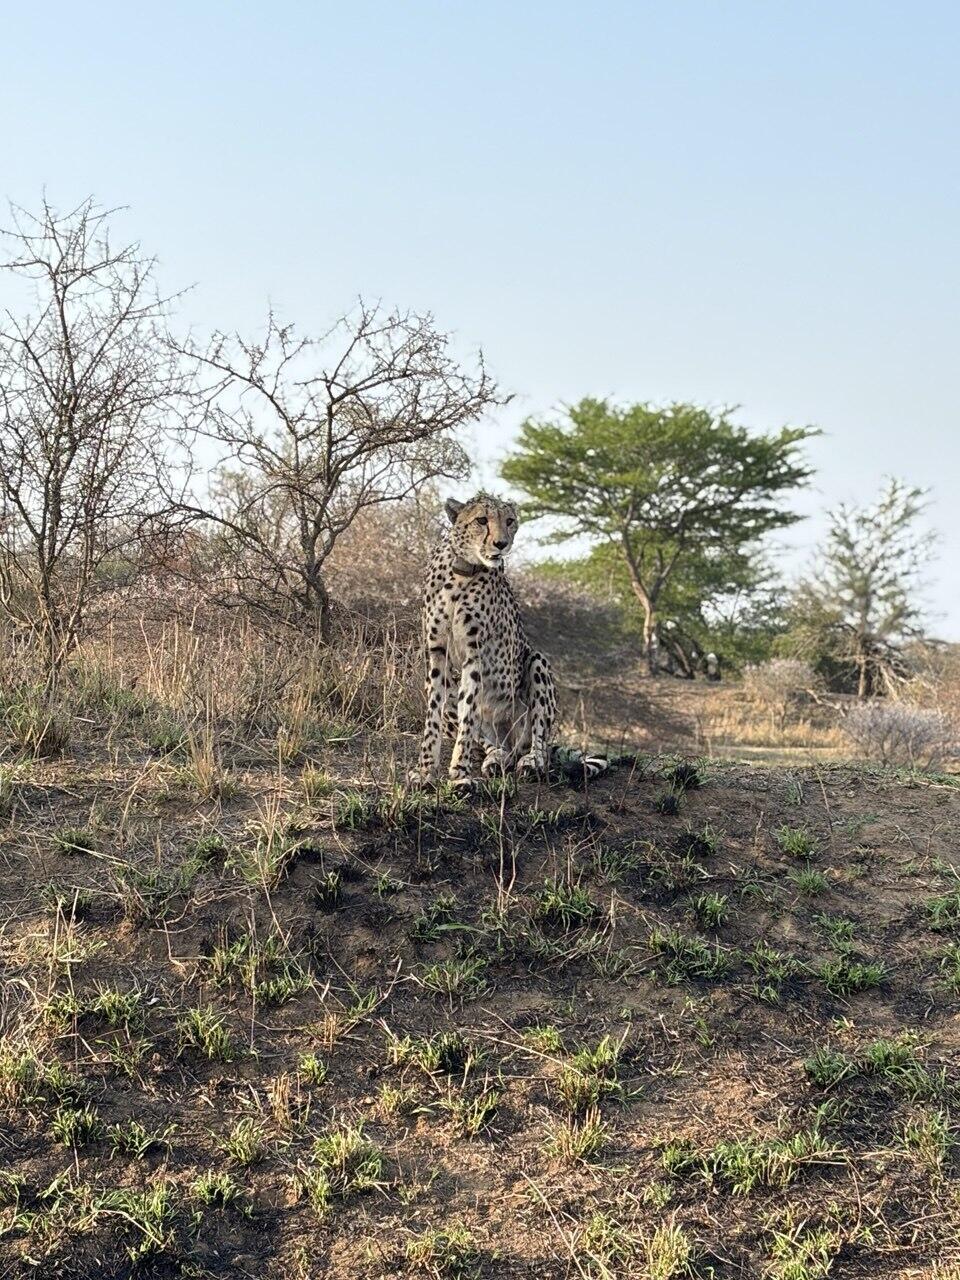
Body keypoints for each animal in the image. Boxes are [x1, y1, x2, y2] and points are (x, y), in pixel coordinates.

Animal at [408, 493, 557, 788]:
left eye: (509, 521)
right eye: (481, 520)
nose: (501, 544)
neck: (461, 571)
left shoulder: (474, 652)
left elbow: (469, 712)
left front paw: (460, 775)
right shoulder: (437, 651)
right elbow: (434, 713)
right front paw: (425, 770)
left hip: (536, 661)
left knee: (538, 740)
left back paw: (531, 761)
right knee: (494, 745)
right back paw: (494, 759)